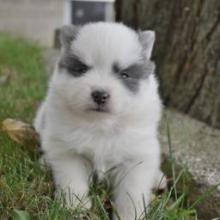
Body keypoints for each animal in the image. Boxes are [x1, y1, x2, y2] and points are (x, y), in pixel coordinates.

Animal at [35, 22, 163, 220]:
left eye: (124, 75)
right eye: (82, 70)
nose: (99, 95)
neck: (100, 124)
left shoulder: (137, 158)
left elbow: (132, 192)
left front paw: (129, 215)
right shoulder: (69, 152)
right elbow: (72, 179)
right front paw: (74, 207)